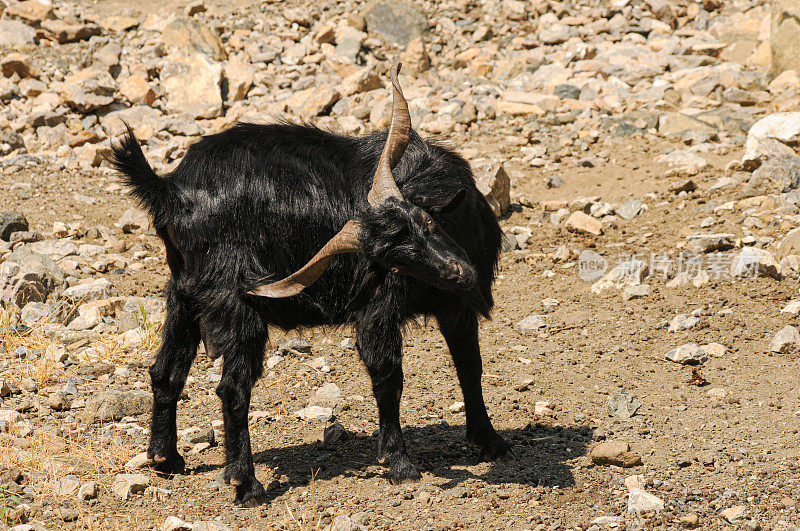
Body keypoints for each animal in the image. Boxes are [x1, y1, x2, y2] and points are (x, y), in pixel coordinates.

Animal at [109, 63, 510, 508]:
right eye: (389, 260)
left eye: (425, 222)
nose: (458, 274)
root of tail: (169, 190)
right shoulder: (377, 309)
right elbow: (388, 377)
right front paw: (400, 464)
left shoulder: (456, 308)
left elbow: (470, 366)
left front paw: (490, 441)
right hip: (234, 299)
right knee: (232, 388)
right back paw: (246, 484)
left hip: (184, 294)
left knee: (165, 370)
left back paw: (166, 458)